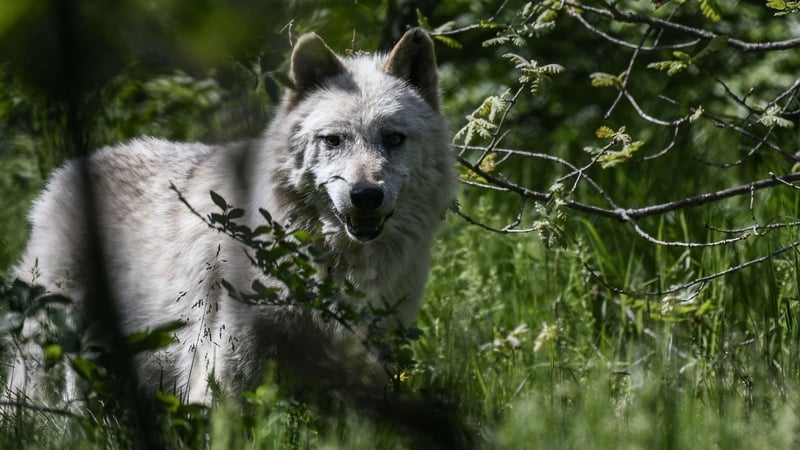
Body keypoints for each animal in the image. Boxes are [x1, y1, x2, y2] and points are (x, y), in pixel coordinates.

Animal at [5, 28, 454, 405]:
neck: (329, 264)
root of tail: (72, 168)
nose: (365, 196)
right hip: (55, 333)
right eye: (333, 140)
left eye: (393, 139)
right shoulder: (226, 364)